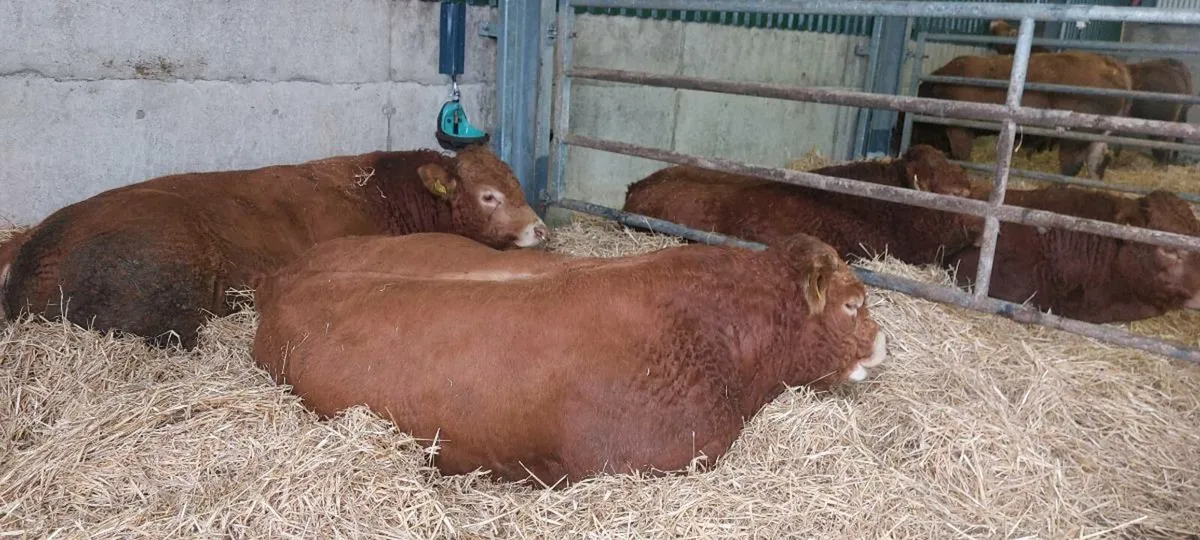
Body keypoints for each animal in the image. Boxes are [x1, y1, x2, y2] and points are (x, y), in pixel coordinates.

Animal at [899, 51, 1133, 180]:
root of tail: (1113, 66)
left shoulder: (959, 129)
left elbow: (961, 155)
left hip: (1075, 136)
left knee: (1072, 165)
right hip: (1098, 135)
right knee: (1097, 163)